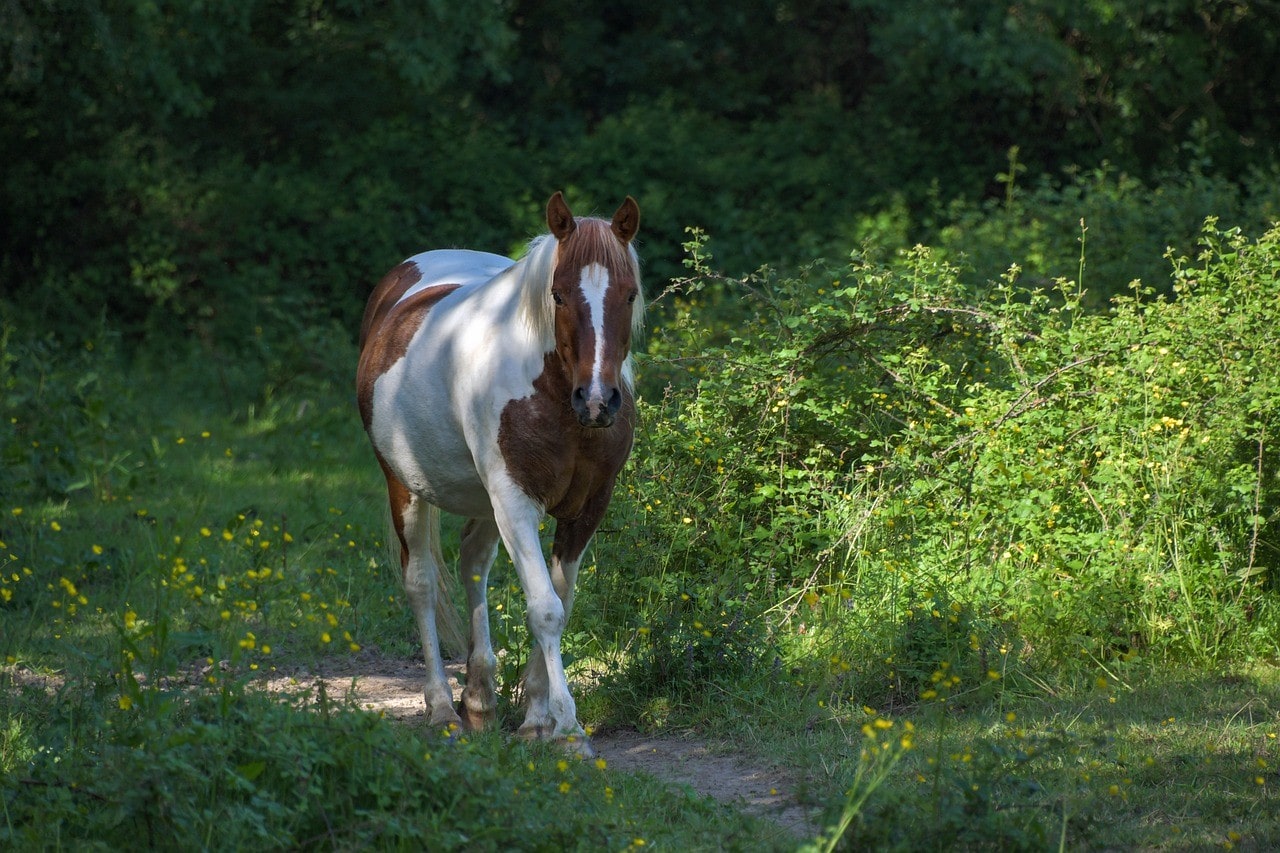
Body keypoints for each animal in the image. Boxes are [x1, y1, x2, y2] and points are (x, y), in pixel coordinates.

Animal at [355, 190, 640, 753]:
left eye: (631, 294)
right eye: (557, 295)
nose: (598, 401)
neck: (553, 395)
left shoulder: (587, 508)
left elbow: (560, 603)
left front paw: (536, 719)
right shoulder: (515, 502)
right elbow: (545, 608)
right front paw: (568, 729)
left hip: (483, 500)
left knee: (472, 564)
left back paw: (480, 699)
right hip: (406, 488)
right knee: (421, 583)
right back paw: (444, 709)